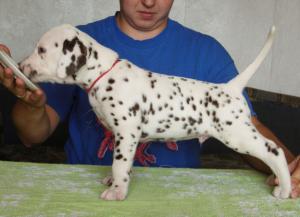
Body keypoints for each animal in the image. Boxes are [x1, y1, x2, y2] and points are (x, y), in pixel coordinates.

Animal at [19, 24, 290, 200]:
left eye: (41, 50)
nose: (21, 66)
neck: (104, 74)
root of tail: (230, 87)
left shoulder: (126, 132)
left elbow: (118, 164)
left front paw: (117, 191)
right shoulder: (124, 137)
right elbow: (123, 164)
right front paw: (115, 182)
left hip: (238, 134)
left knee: (274, 151)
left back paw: (285, 189)